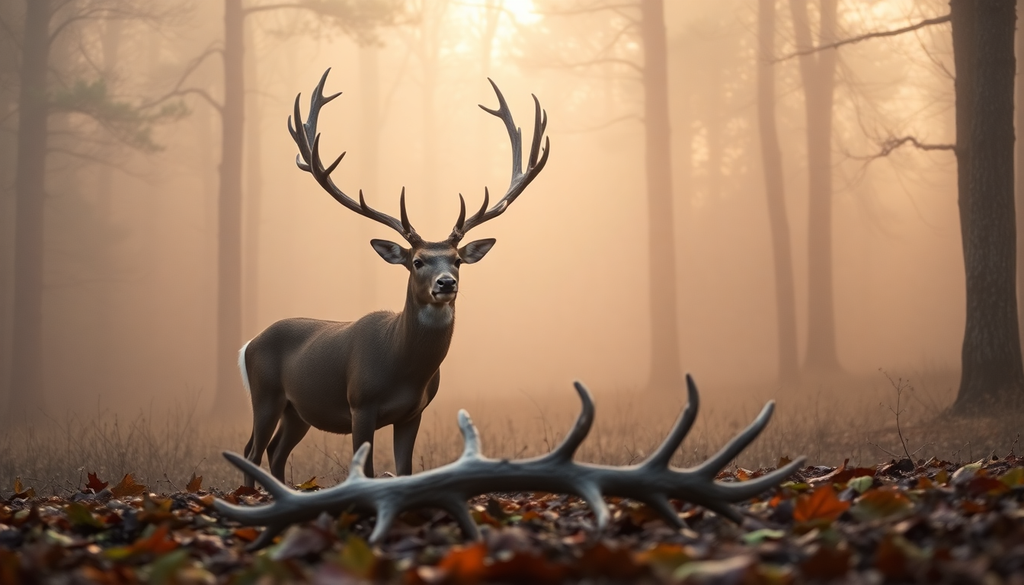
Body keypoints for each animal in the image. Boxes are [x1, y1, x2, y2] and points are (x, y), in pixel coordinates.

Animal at [238, 69, 549, 487]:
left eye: (457, 260)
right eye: (417, 261)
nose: (446, 283)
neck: (401, 365)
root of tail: (249, 344)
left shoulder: (413, 412)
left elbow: (404, 469)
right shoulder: (360, 403)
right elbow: (366, 470)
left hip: (297, 409)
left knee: (274, 451)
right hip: (265, 393)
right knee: (252, 451)